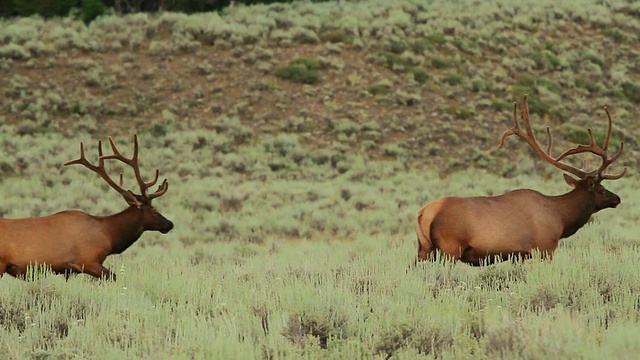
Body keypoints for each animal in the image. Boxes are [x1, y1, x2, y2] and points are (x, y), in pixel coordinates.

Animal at [0, 134, 174, 278]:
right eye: (154, 210)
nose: (170, 224)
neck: (109, 235)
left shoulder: (69, 271)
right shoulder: (87, 260)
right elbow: (113, 277)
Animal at [416, 94, 624, 266]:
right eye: (601, 188)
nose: (617, 198)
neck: (561, 218)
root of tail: (424, 213)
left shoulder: (519, 254)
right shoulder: (545, 247)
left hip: (424, 249)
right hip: (449, 248)